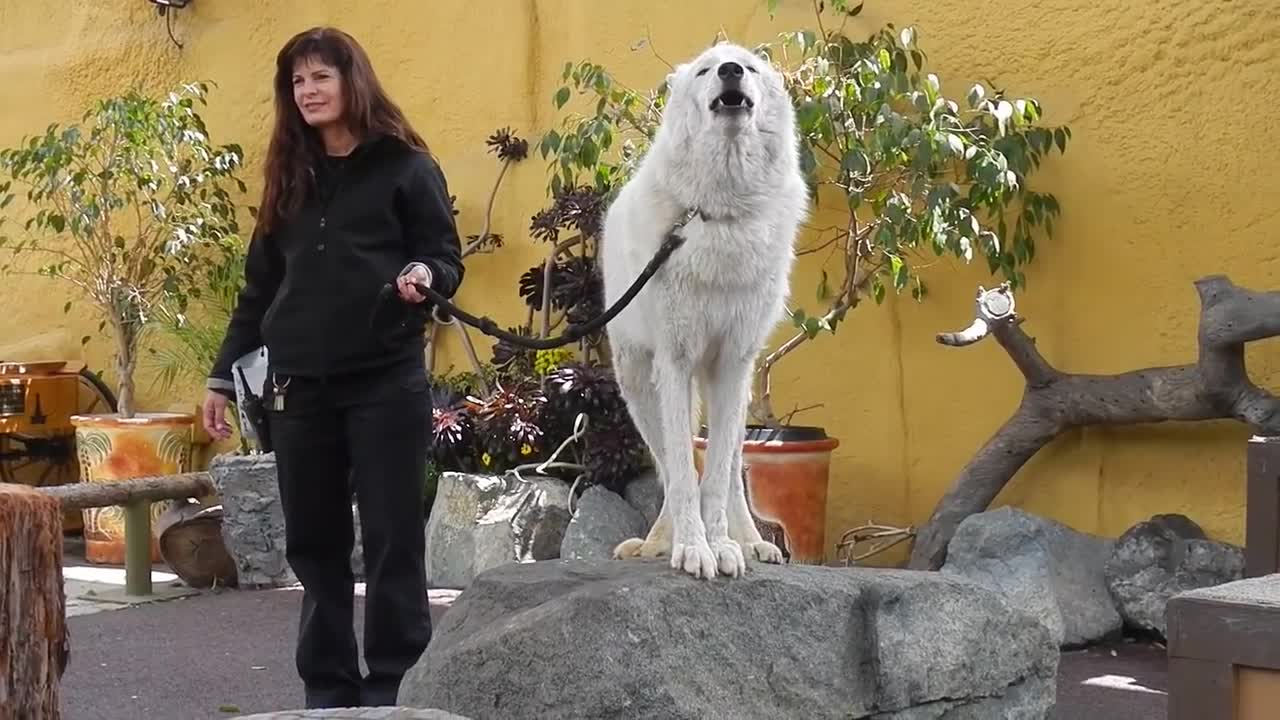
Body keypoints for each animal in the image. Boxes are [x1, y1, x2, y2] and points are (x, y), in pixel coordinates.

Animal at [601, 41, 808, 576]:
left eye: (749, 67)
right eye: (704, 71)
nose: (731, 70)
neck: (721, 214)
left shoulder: (731, 364)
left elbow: (713, 478)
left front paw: (724, 547)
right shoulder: (674, 363)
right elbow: (682, 472)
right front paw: (692, 549)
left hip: (732, 389)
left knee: (731, 467)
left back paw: (751, 542)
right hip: (640, 387)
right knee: (668, 470)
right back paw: (659, 542)